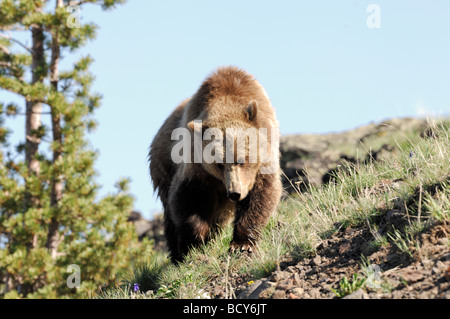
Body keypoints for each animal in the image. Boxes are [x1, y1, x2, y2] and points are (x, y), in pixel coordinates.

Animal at [149, 66, 282, 264]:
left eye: (241, 160)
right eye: (218, 163)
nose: (235, 193)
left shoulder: (264, 160)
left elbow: (261, 195)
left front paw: (242, 244)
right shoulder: (196, 165)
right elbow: (187, 198)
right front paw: (196, 240)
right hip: (163, 163)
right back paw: (177, 254)